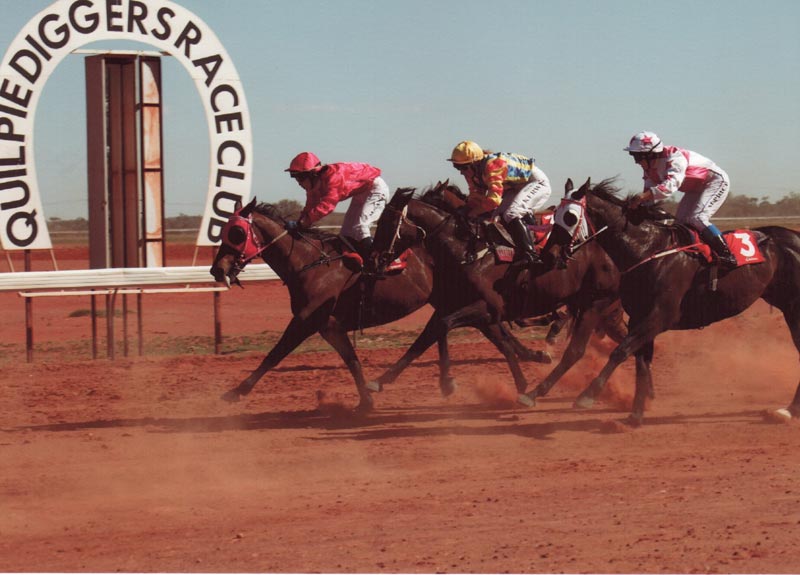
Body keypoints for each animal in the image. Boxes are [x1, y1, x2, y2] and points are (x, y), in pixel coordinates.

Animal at [208, 200, 544, 412]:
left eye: (236, 232)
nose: (216, 269)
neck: (310, 263)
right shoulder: (327, 325)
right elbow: (352, 359)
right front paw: (365, 400)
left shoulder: (306, 320)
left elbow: (273, 356)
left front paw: (235, 392)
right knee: (488, 333)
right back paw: (523, 374)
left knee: (470, 331)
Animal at [368, 182, 624, 402]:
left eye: (388, 223)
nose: (374, 259)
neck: (466, 251)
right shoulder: (468, 310)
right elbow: (426, 340)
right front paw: (381, 380)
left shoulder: (485, 307)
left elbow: (445, 328)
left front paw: (447, 382)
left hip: (597, 303)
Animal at [548, 178, 800, 426]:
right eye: (554, 213)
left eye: (570, 216)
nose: (550, 254)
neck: (648, 250)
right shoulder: (639, 318)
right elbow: (641, 362)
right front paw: (636, 414)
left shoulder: (658, 317)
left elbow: (621, 351)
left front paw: (587, 396)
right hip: (786, 305)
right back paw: (787, 411)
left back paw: (788, 411)